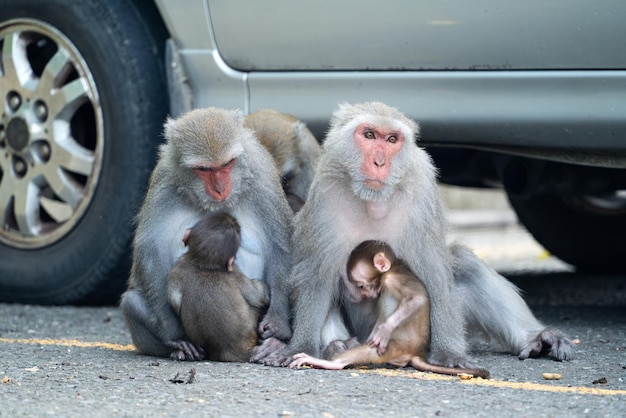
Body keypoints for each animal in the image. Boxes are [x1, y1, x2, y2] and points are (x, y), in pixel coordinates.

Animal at [166, 212, 266, 362]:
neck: (203, 264)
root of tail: (226, 351)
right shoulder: (235, 273)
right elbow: (258, 296)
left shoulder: (178, 268)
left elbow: (174, 300)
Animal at [288, 238, 488, 378]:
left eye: (361, 285)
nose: (366, 294)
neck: (395, 267)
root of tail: (416, 353)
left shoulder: (393, 279)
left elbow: (416, 299)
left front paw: (384, 330)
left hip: (397, 346)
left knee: (370, 350)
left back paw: (328, 361)